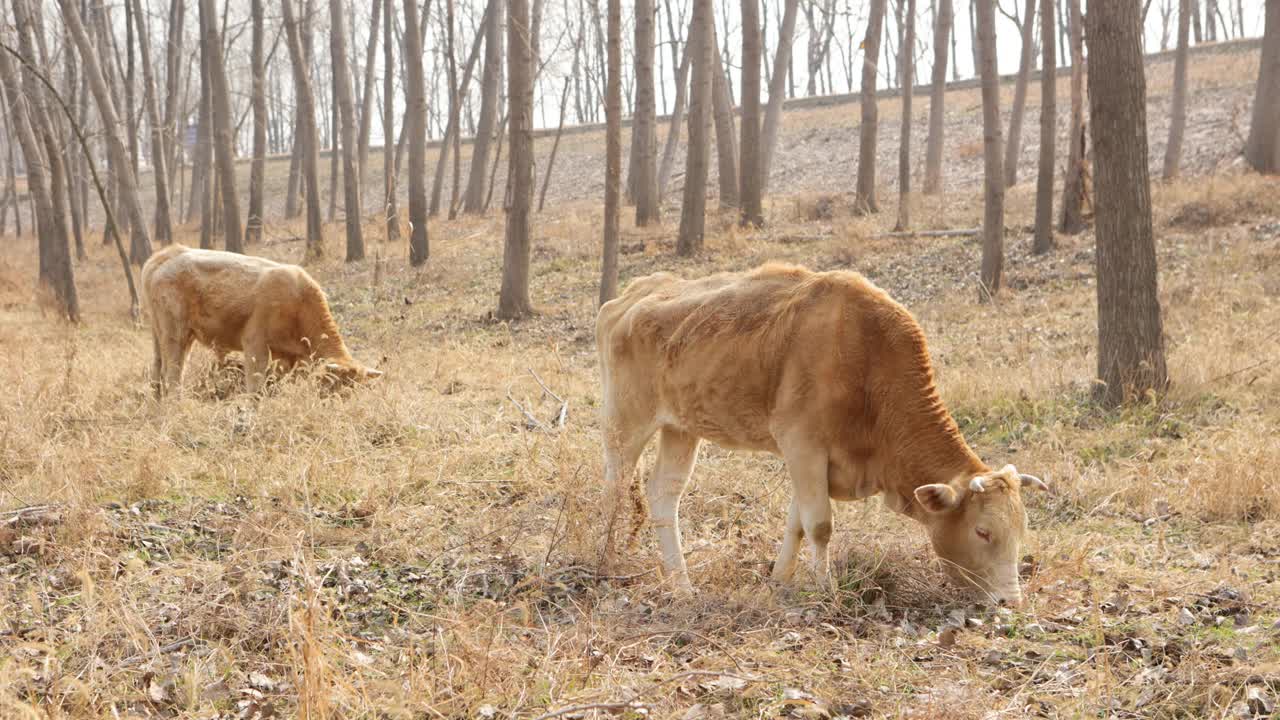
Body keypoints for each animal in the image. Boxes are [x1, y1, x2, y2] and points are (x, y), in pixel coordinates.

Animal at [142, 244, 378, 392]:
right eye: (333, 385)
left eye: (356, 389)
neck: (299, 299)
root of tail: (170, 253)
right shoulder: (255, 345)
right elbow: (255, 388)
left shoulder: (289, 359)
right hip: (175, 335)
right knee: (173, 375)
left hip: (162, 335)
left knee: (157, 372)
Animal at [593, 260, 1044, 602]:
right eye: (982, 531)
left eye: (1022, 529)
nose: (1010, 601)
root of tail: (631, 296)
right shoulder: (802, 445)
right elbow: (820, 525)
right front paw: (825, 591)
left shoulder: (815, 460)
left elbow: (798, 521)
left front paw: (779, 581)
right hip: (625, 422)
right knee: (614, 488)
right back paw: (607, 561)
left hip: (681, 428)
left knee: (663, 494)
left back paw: (682, 585)